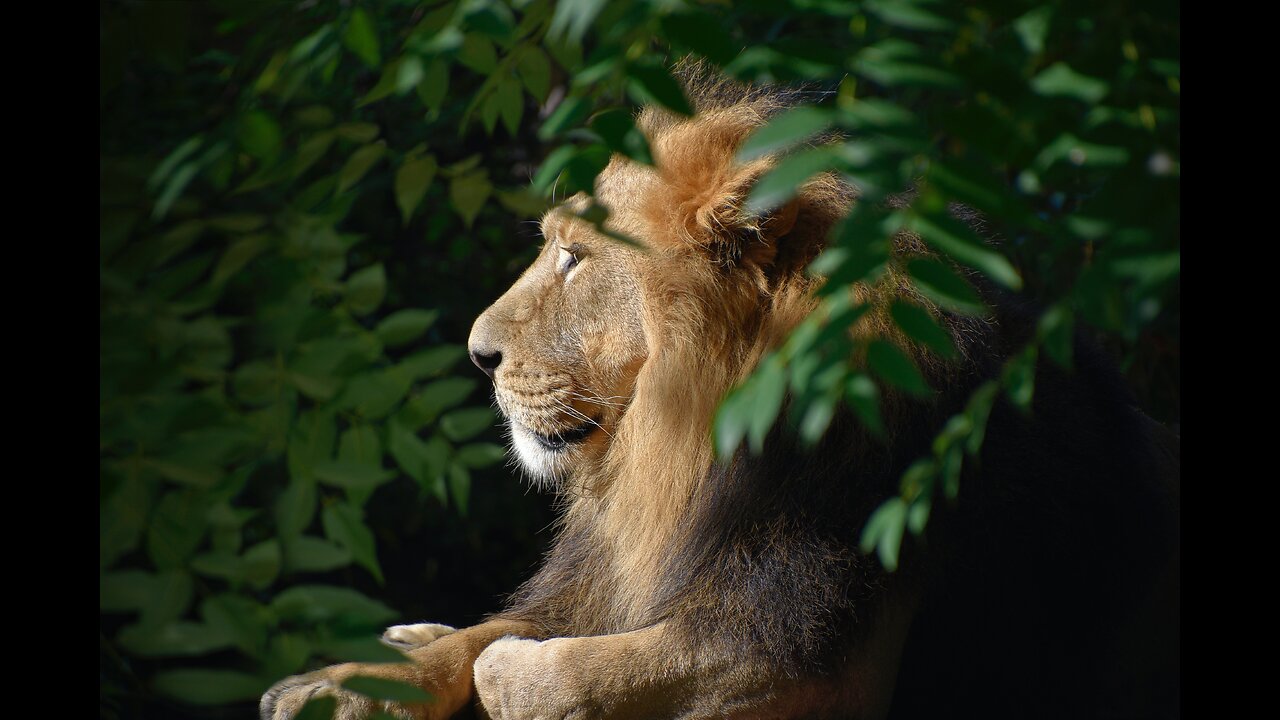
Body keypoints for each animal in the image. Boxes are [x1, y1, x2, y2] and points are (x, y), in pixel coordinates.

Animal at [259, 67, 1177, 717]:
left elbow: (561, 671)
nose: (478, 354)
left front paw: (506, 673)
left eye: (575, 258)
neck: (682, 449)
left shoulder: (812, 654)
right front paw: (333, 685)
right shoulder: (635, 564)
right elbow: (493, 631)